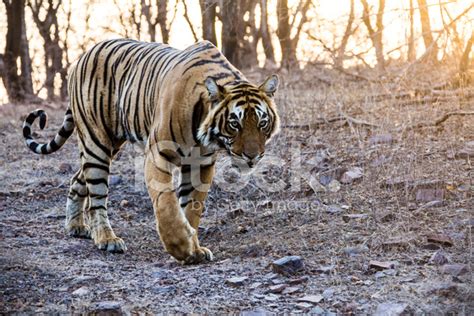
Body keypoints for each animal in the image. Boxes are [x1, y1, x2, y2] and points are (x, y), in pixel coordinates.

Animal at [22, 38, 280, 262]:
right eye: (234, 124)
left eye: (262, 123)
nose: (252, 156)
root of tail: (83, 55)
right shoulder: (158, 155)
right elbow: (167, 205)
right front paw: (179, 246)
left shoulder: (201, 164)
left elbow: (191, 208)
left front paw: (193, 248)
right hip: (96, 141)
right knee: (96, 196)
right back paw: (107, 239)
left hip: (110, 144)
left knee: (78, 178)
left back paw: (76, 226)